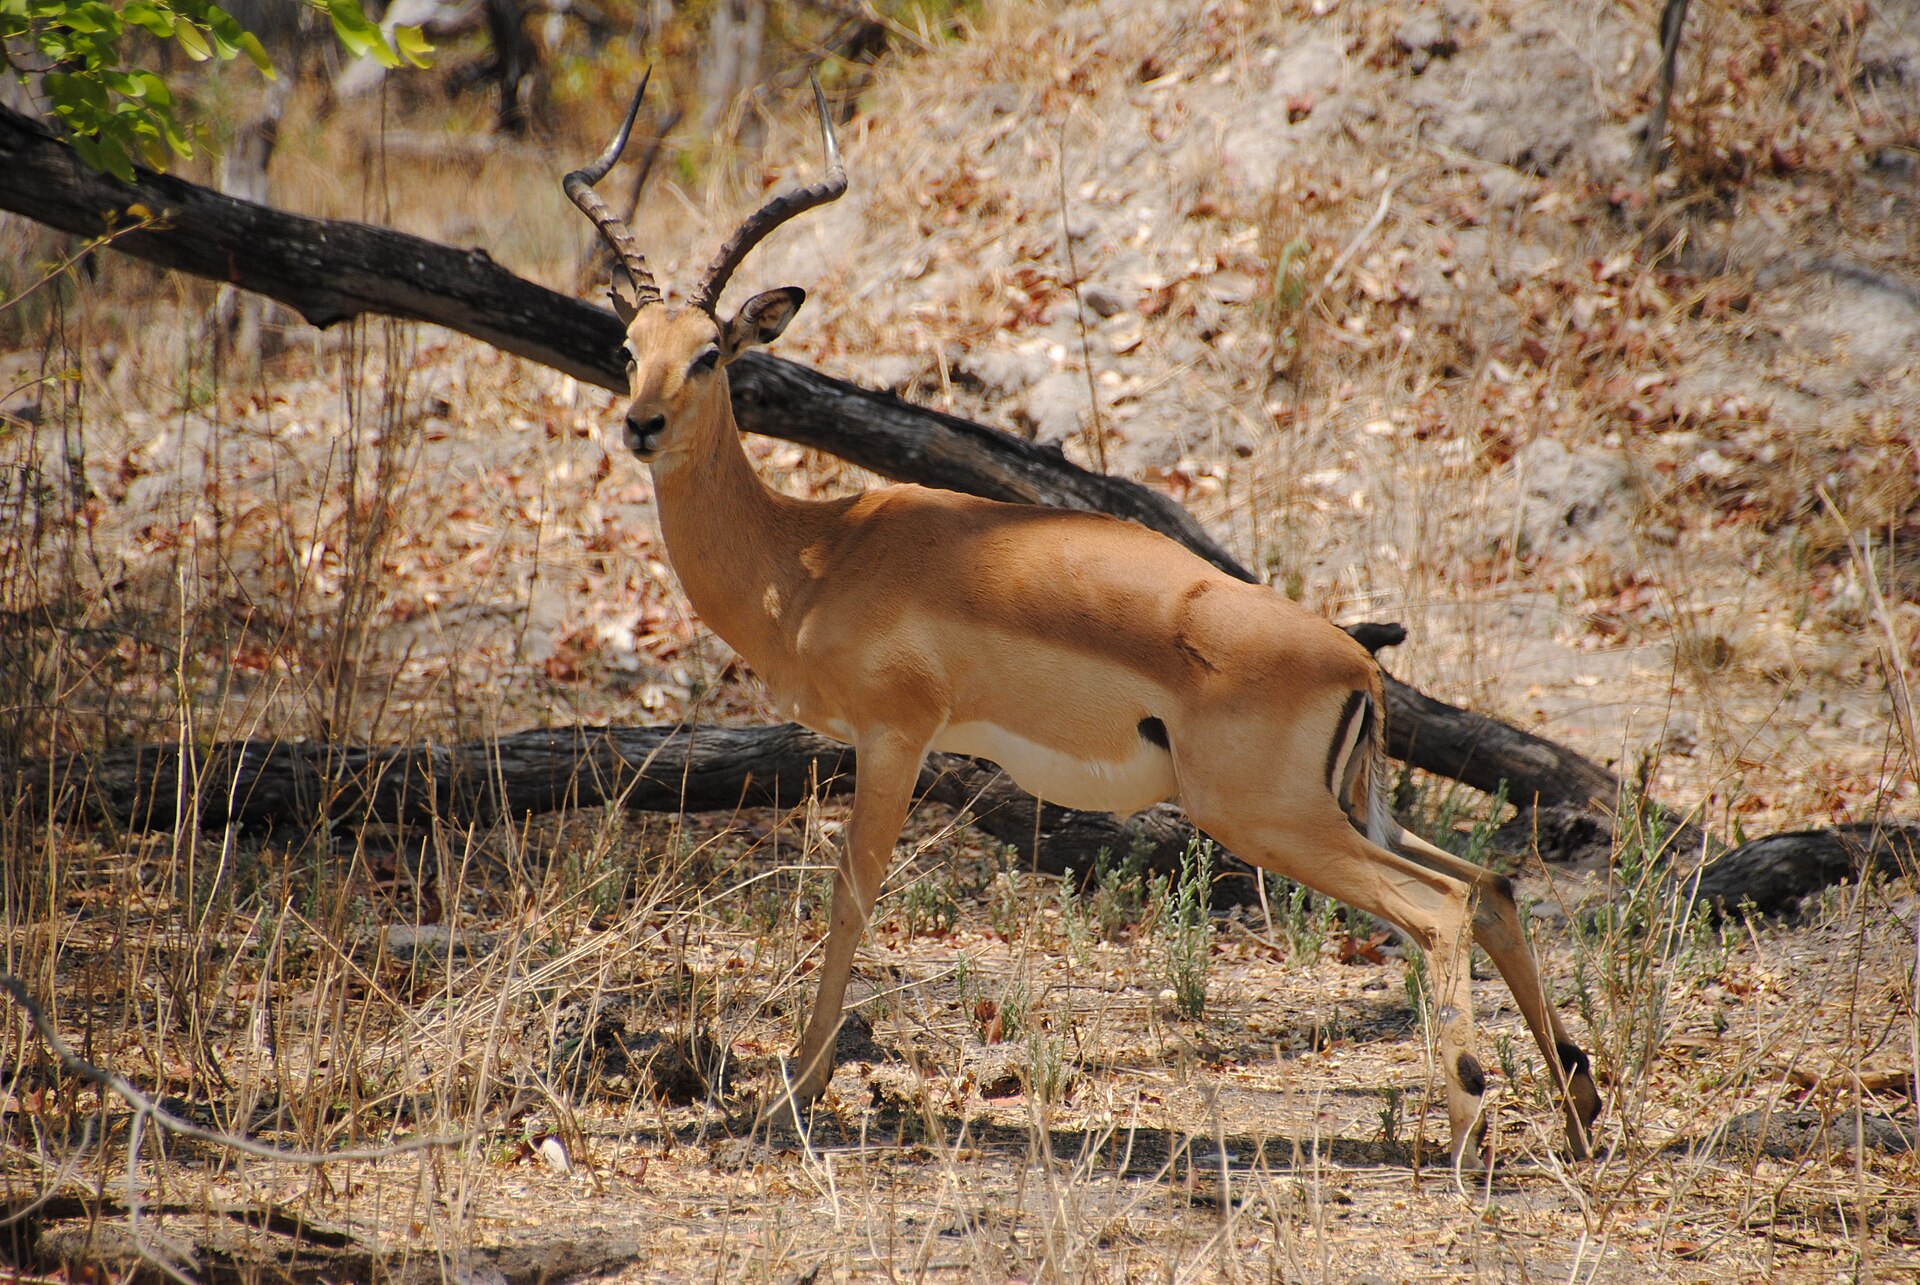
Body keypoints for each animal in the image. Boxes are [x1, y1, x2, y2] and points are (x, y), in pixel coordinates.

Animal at [564, 76, 1602, 1167]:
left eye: (709, 354)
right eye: (629, 349)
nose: (640, 425)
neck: (816, 555)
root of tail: (1355, 667)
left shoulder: (895, 736)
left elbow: (850, 901)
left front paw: (787, 1099)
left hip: (1267, 818)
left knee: (1440, 906)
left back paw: (1472, 1126)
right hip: (1353, 809)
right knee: (1491, 885)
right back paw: (1578, 1112)